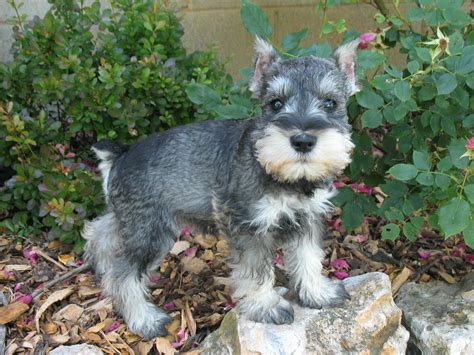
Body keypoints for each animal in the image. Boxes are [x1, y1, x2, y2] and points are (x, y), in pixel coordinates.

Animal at [84, 37, 360, 340]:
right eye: (275, 103)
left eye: (330, 103)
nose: (302, 141)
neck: (286, 177)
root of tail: (121, 153)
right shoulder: (248, 225)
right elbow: (256, 270)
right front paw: (266, 306)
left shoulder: (307, 218)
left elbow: (308, 257)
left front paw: (317, 292)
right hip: (150, 231)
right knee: (123, 275)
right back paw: (144, 319)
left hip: (130, 218)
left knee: (100, 230)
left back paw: (99, 262)